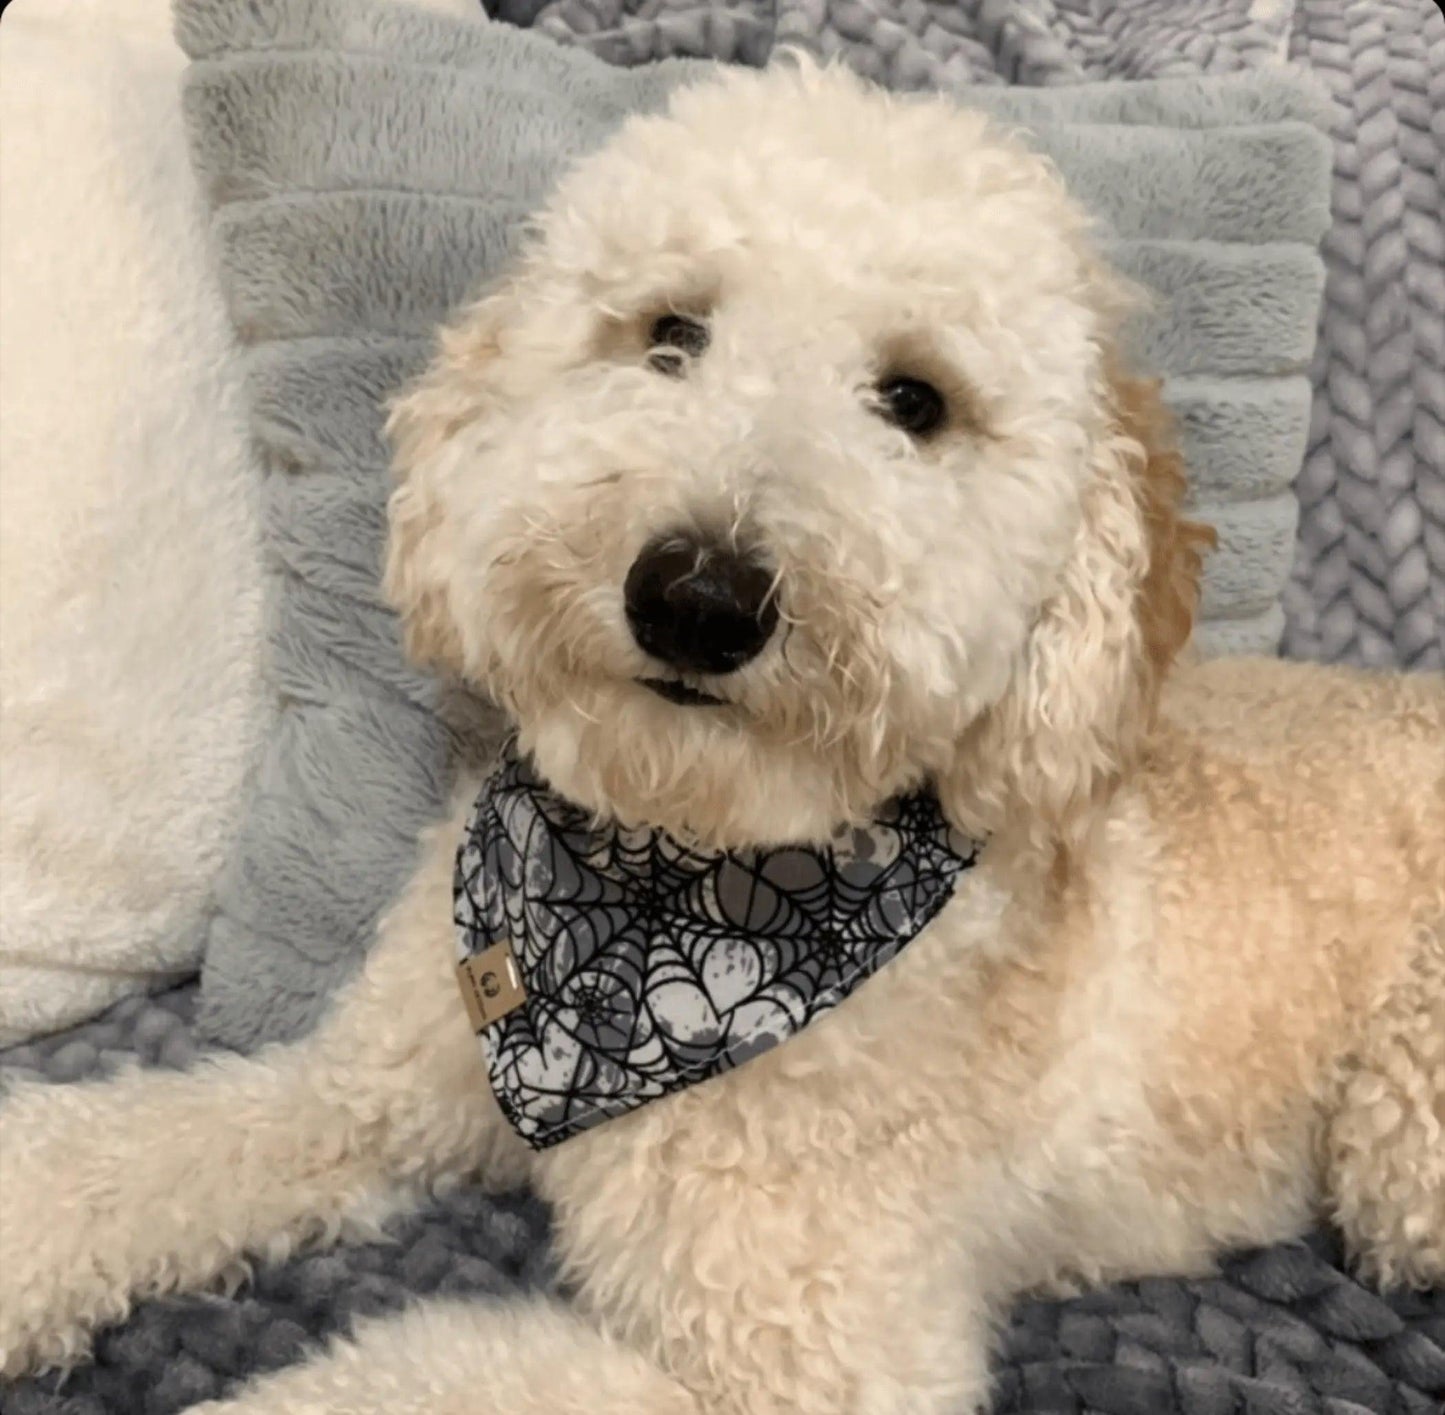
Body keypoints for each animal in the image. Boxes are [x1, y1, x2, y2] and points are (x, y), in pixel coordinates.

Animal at [2, 58, 1445, 1415]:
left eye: (912, 400)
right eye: (669, 333)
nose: (698, 595)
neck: (664, 889)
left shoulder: (802, 1361)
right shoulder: (366, 1090)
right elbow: (127, 1144)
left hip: (1399, 1152)